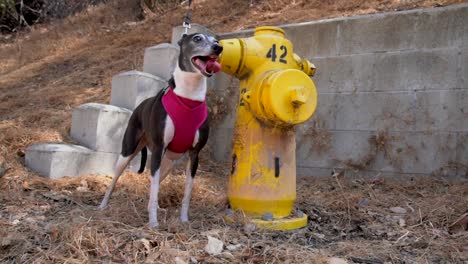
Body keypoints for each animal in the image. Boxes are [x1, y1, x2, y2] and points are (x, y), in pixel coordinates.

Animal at [98, 33, 223, 228]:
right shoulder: (158, 148)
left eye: (216, 40)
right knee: (116, 180)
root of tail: (140, 105)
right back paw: (103, 205)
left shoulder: (194, 154)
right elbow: (154, 190)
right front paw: (153, 223)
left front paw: (184, 220)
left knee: (153, 185)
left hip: (166, 164)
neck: (188, 97)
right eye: (197, 38)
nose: (218, 48)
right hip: (129, 152)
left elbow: (186, 192)